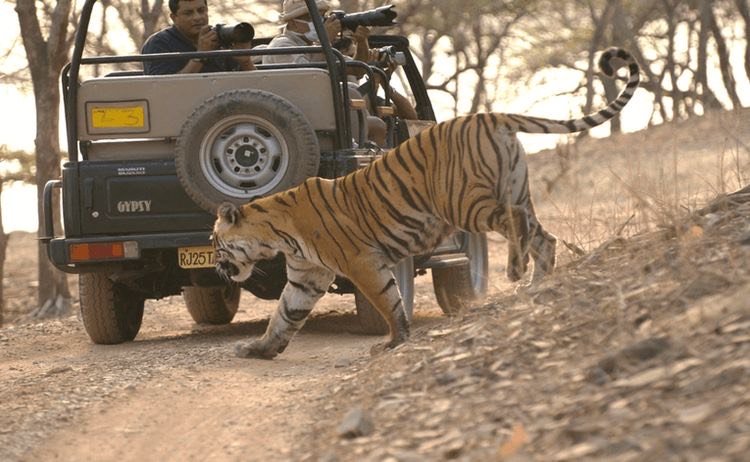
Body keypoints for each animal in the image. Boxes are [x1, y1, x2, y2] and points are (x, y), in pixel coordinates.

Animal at [212, 47, 640, 359]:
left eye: (217, 243)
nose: (216, 266)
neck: (276, 234)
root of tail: (489, 115)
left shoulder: (362, 262)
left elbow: (388, 301)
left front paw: (393, 340)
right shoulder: (307, 275)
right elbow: (285, 315)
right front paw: (259, 349)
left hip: (465, 202)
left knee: (515, 222)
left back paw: (517, 271)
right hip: (513, 189)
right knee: (543, 237)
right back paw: (537, 285)